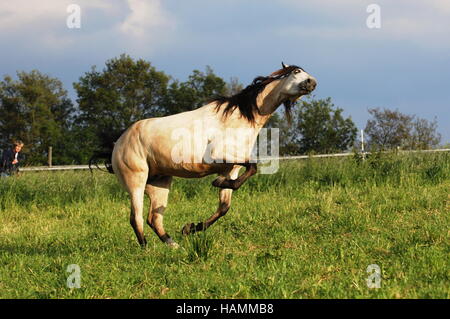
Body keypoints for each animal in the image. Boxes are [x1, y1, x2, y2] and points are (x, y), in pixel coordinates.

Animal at [107, 62, 316, 248]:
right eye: (297, 71)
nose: (312, 83)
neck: (238, 118)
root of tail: (119, 142)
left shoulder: (231, 168)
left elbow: (225, 205)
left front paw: (190, 227)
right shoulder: (219, 154)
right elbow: (253, 166)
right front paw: (216, 184)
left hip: (159, 182)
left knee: (154, 218)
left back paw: (174, 245)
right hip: (136, 180)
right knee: (136, 218)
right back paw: (146, 249)